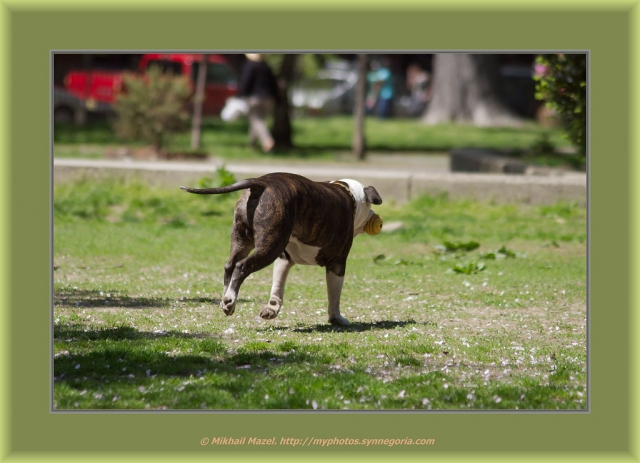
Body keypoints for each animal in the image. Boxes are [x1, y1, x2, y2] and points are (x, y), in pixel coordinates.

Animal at [180, 172, 382, 328]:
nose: (376, 219)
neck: (348, 194)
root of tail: (261, 182)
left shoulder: (284, 259)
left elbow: (277, 286)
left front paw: (271, 309)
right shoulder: (337, 264)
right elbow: (334, 296)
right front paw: (337, 319)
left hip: (243, 239)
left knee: (229, 266)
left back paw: (227, 299)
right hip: (269, 246)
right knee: (242, 266)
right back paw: (230, 299)